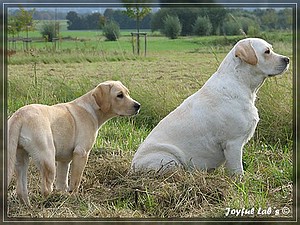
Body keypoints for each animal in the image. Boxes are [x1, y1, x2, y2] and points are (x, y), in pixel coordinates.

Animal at [7, 81, 141, 206]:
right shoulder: (81, 153)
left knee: (21, 190)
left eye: (127, 93)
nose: (138, 105)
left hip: (20, 159)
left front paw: (64, 195)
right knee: (45, 188)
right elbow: (76, 181)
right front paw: (74, 197)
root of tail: (19, 116)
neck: (92, 109)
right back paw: (50, 202)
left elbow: (62, 182)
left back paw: (30, 206)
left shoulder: (64, 161)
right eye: (119, 95)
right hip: (47, 157)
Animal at [131, 37, 288, 175]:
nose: (287, 59)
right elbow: (237, 171)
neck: (240, 82)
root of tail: (132, 167)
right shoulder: (233, 143)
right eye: (267, 51)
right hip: (169, 160)